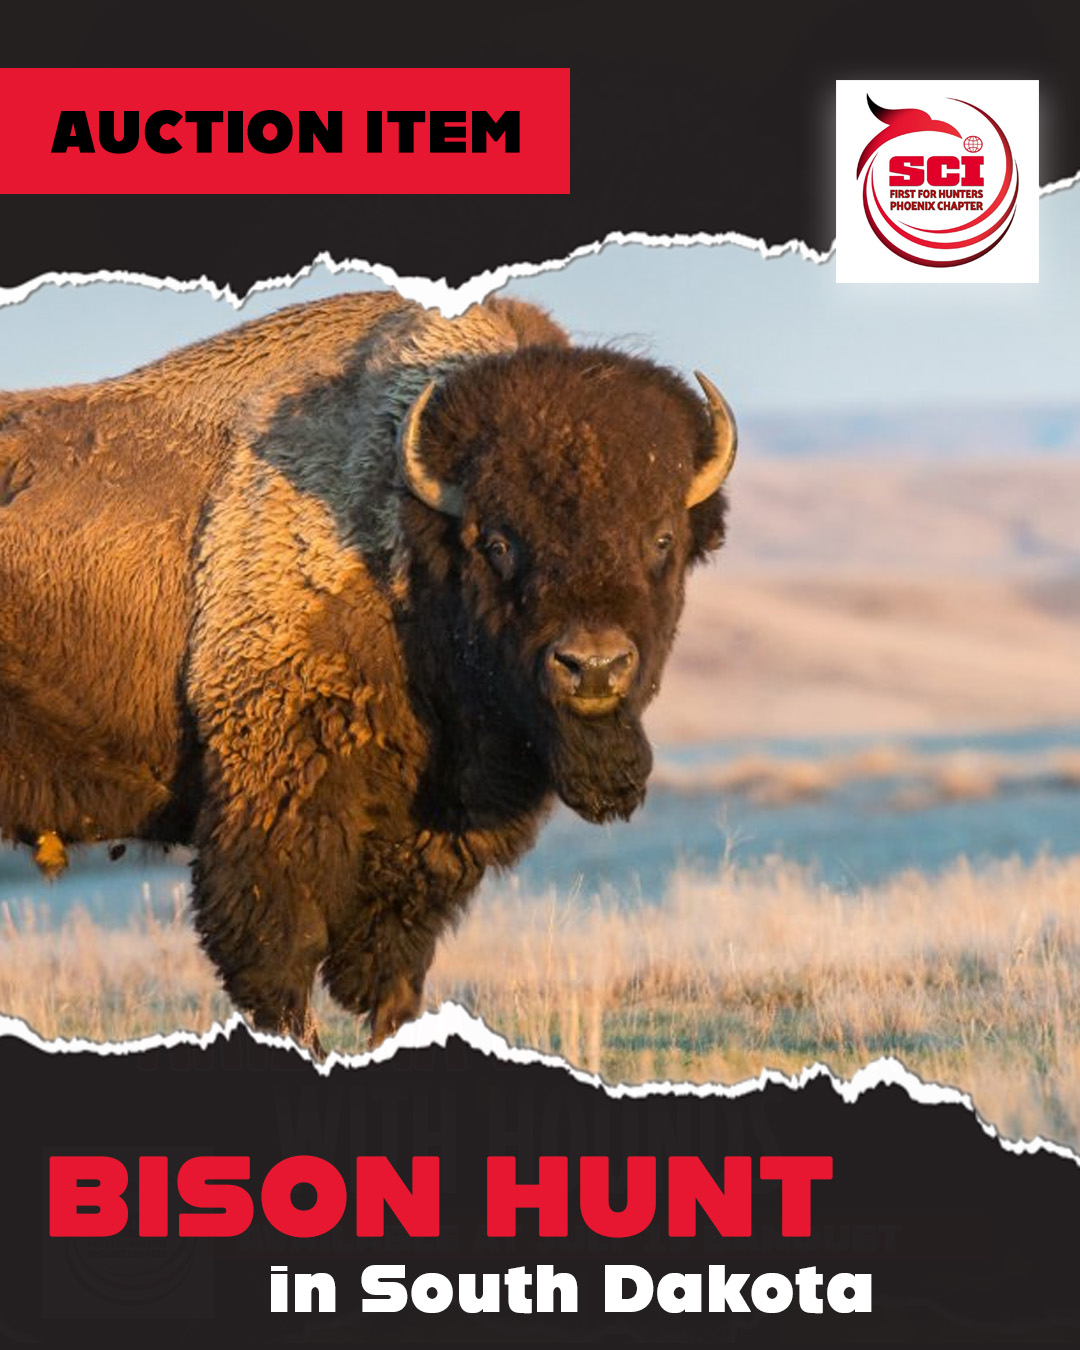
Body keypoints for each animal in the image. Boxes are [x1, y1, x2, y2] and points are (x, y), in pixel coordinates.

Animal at [0, 292, 736, 1054]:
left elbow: (394, 968)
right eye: (497, 541)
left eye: (661, 538)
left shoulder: (426, 841)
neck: (404, 537)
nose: (593, 667)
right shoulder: (276, 803)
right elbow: (280, 957)